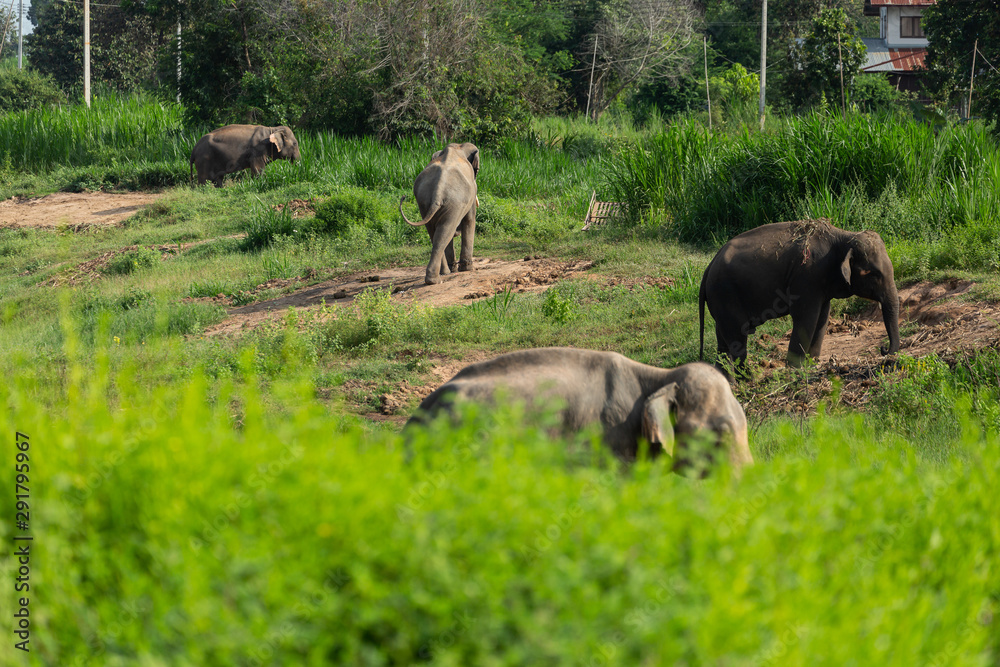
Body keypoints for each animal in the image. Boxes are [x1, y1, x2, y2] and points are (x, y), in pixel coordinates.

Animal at [396, 144, 478, 284]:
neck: (458, 147)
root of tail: (437, 192)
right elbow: (469, 219)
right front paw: (467, 269)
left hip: (424, 202)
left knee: (436, 232)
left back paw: (440, 275)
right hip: (455, 201)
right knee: (447, 229)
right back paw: (437, 279)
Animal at [700, 220, 904, 374]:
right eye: (873, 274)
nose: (883, 350)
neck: (844, 236)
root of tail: (708, 268)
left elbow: (822, 317)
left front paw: (811, 363)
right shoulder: (807, 276)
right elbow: (806, 317)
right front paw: (795, 369)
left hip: (721, 299)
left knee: (724, 340)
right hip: (725, 294)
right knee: (737, 338)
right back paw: (747, 379)